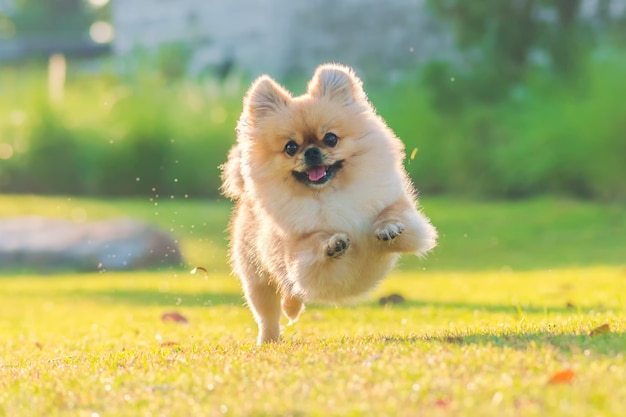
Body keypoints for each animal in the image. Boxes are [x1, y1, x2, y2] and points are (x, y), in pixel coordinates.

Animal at [222, 64, 436, 344]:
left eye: (331, 139)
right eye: (291, 147)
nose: (311, 151)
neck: (329, 194)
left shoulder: (405, 218)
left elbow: (393, 216)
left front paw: (387, 228)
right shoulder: (298, 256)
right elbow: (313, 243)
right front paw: (332, 243)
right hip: (257, 279)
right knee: (269, 314)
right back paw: (268, 340)